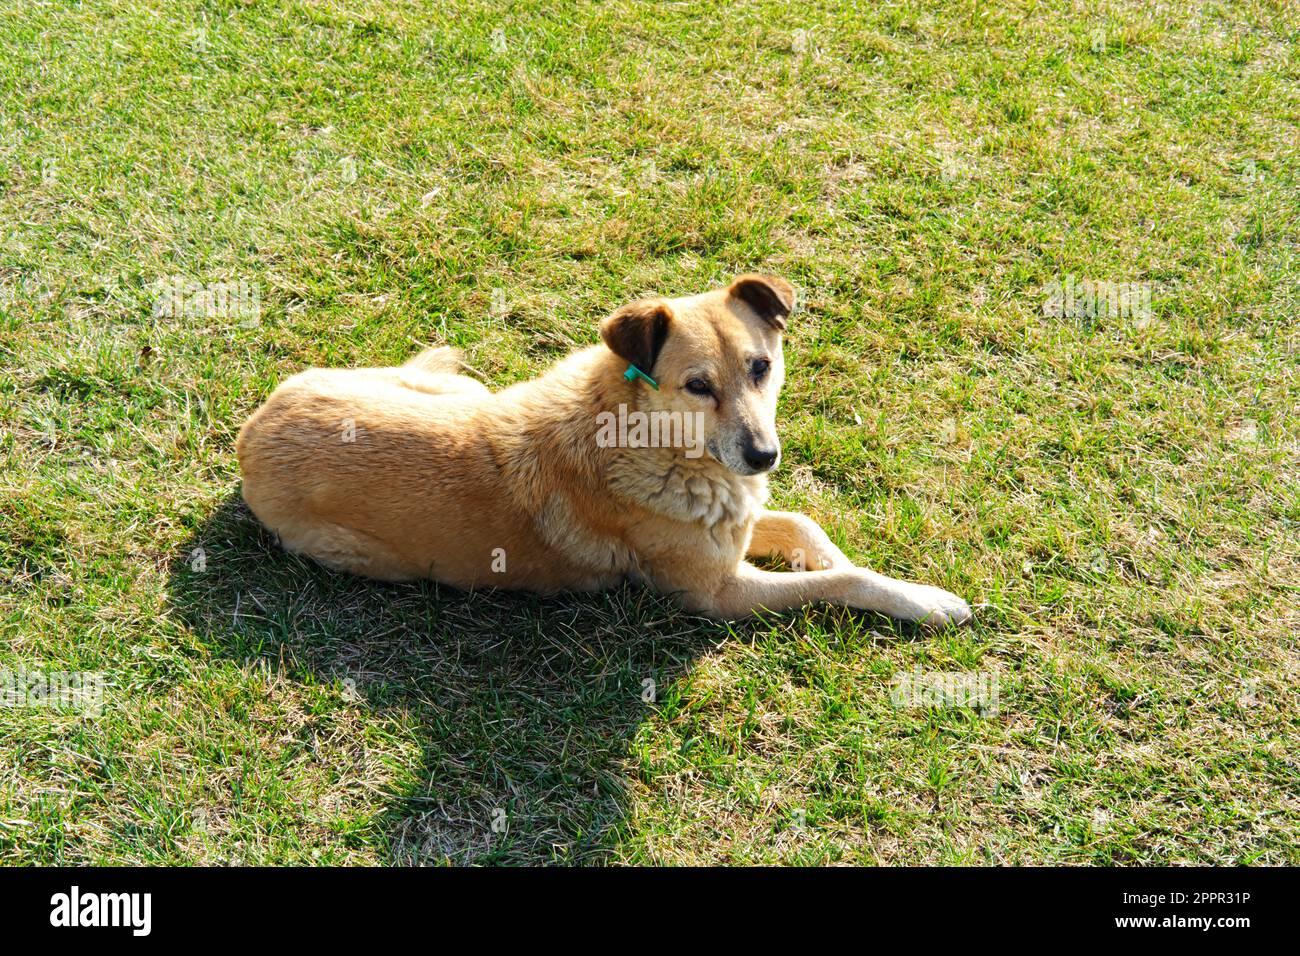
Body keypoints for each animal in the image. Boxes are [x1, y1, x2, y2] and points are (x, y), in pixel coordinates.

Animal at [236, 274, 967, 629]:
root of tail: (252, 429)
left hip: (457, 390)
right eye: (698, 386)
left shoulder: (737, 520)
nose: (764, 457)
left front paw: (856, 564)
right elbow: (840, 580)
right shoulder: (718, 593)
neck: (651, 440)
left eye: (761, 367)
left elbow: (812, 530)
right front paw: (926, 600)